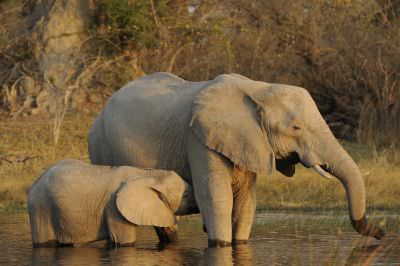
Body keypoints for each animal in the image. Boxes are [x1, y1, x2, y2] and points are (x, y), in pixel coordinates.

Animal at [27, 159, 197, 246]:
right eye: (186, 194)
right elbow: (124, 242)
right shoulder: (113, 206)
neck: (146, 173)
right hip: (41, 208)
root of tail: (35, 182)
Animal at [88, 72, 384, 247]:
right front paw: (221, 245)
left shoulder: (250, 142)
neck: (258, 90)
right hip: (102, 147)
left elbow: (246, 201)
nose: (380, 232)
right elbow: (217, 198)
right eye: (296, 128)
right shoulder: (199, 139)